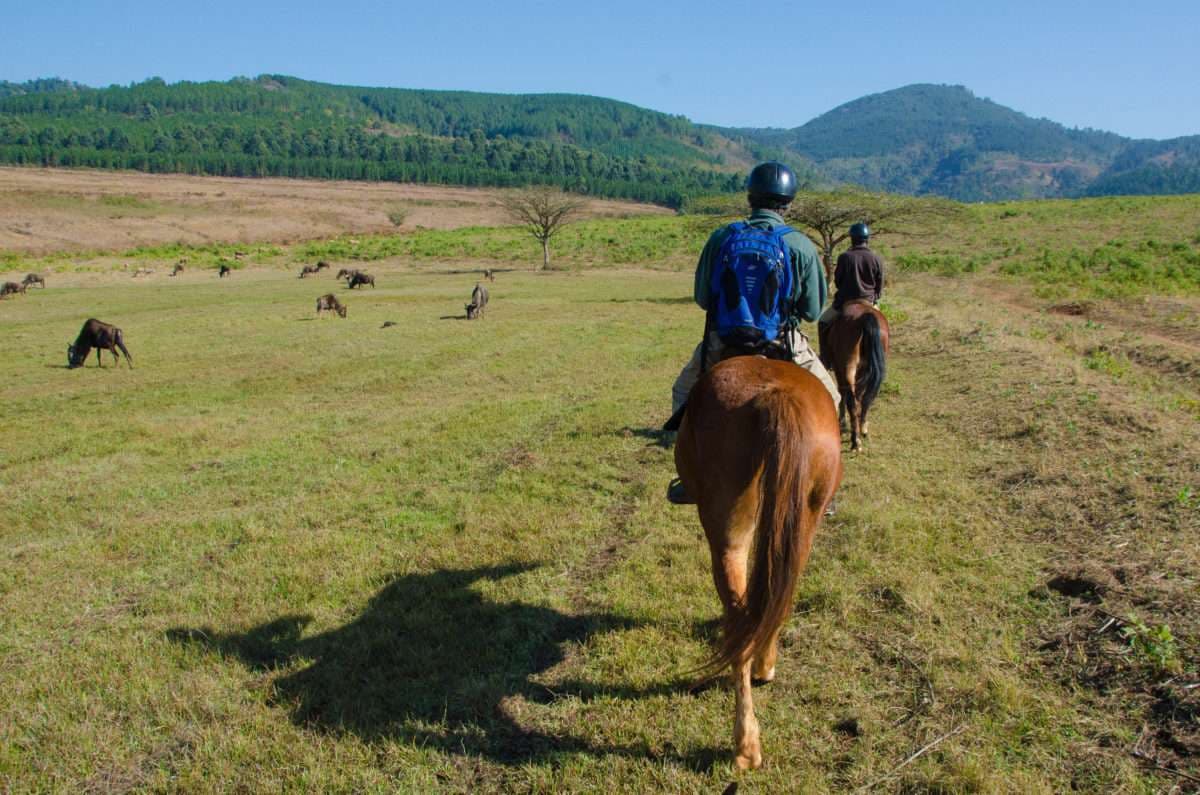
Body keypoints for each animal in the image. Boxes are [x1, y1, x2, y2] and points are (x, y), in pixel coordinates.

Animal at [674, 355, 842, 770]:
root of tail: (774, 396)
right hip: (803, 523)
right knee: (779, 600)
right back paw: (765, 667)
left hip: (726, 534)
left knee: (739, 619)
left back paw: (745, 744)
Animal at [821, 301, 889, 451]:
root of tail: (865, 317)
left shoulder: (839, 369)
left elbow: (841, 393)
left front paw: (842, 421)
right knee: (864, 399)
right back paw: (862, 430)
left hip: (848, 366)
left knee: (851, 400)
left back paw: (855, 441)